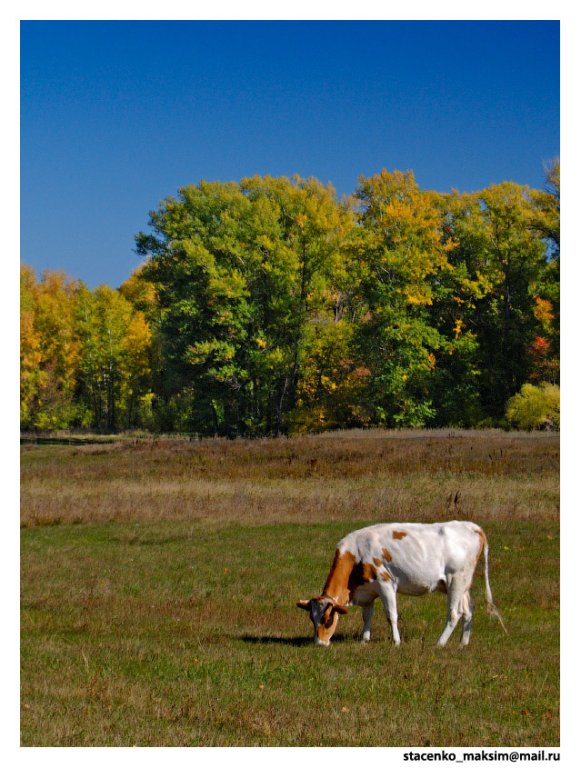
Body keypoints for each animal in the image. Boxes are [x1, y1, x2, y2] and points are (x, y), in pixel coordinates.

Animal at [296, 520, 506, 644]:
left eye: (327, 619)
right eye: (312, 618)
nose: (319, 643)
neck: (356, 554)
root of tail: (472, 526)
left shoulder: (386, 584)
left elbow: (391, 615)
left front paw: (396, 642)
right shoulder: (368, 591)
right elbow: (367, 616)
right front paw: (364, 640)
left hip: (456, 580)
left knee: (455, 614)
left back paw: (440, 643)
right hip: (461, 585)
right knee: (469, 609)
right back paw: (463, 643)